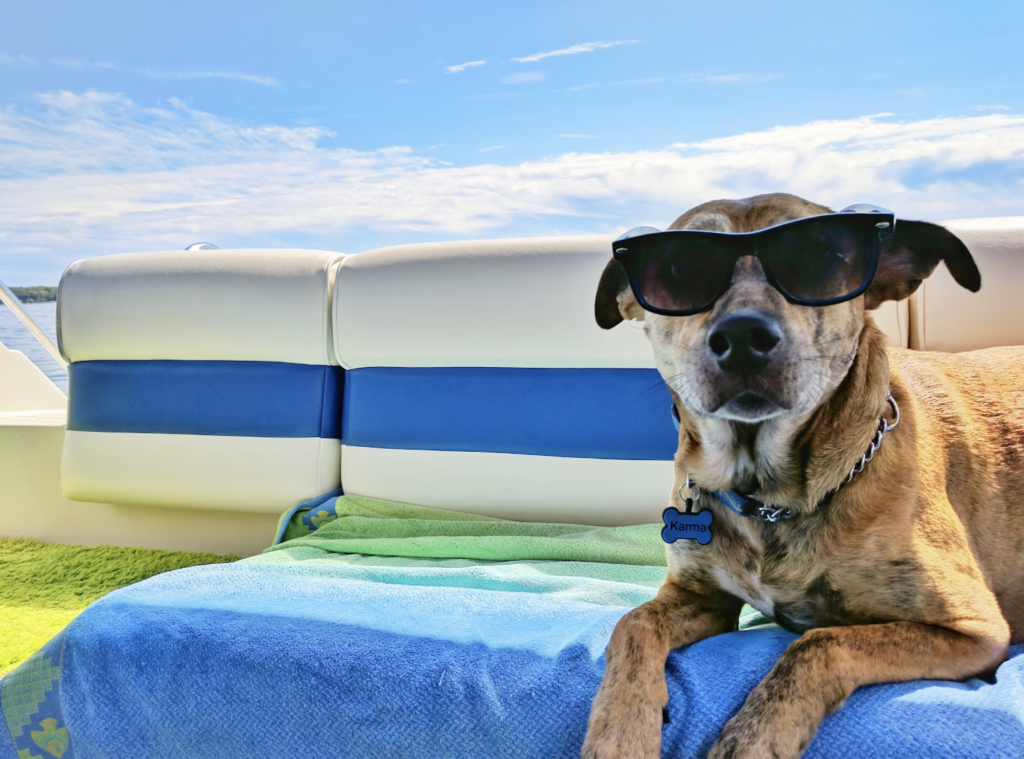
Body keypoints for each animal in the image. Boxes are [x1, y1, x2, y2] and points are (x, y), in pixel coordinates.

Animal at [585, 193, 1024, 757]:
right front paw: (617, 734)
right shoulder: (701, 600)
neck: (766, 495)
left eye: (821, 256)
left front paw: (752, 740)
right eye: (680, 268)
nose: (743, 336)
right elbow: (632, 622)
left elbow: (819, 643)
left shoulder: (975, 628)